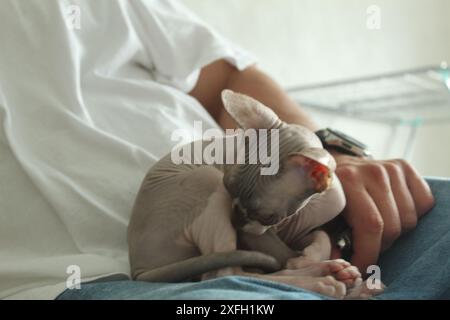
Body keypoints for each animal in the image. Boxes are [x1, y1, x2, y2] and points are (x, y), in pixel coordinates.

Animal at [128, 89, 384, 298]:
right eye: (228, 187)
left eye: (267, 216)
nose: (235, 221)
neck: (308, 209)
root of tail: (138, 269)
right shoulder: (256, 235)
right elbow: (284, 257)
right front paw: (305, 262)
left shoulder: (299, 229)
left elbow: (320, 236)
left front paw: (311, 256)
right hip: (207, 181)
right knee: (226, 274)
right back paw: (326, 280)